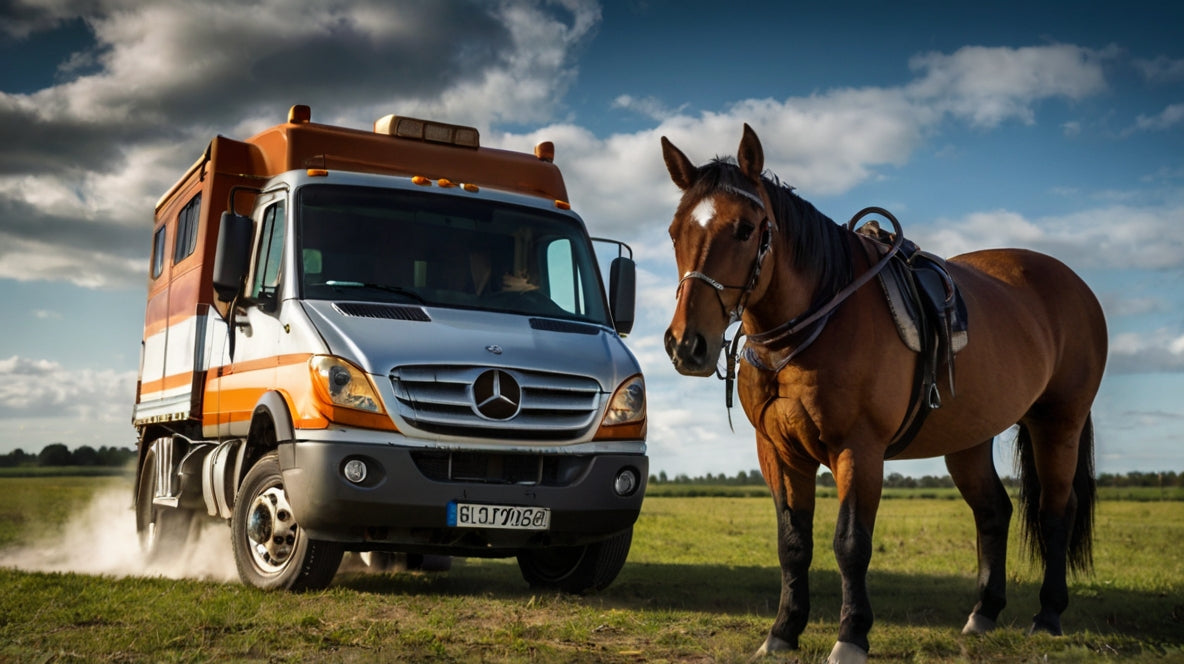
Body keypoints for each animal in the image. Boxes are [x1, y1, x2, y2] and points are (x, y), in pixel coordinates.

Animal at [660, 125, 1107, 664]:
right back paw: (984, 613)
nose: (687, 344)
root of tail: (1075, 285)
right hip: (969, 440)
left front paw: (851, 636)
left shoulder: (859, 449)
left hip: (1058, 424)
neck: (813, 323)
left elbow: (851, 544)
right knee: (994, 511)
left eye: (746, 229)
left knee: (1056, 513)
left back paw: (1047, 616)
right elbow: (793, 543)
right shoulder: (777, 452)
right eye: (674, 231)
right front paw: (783, 631)